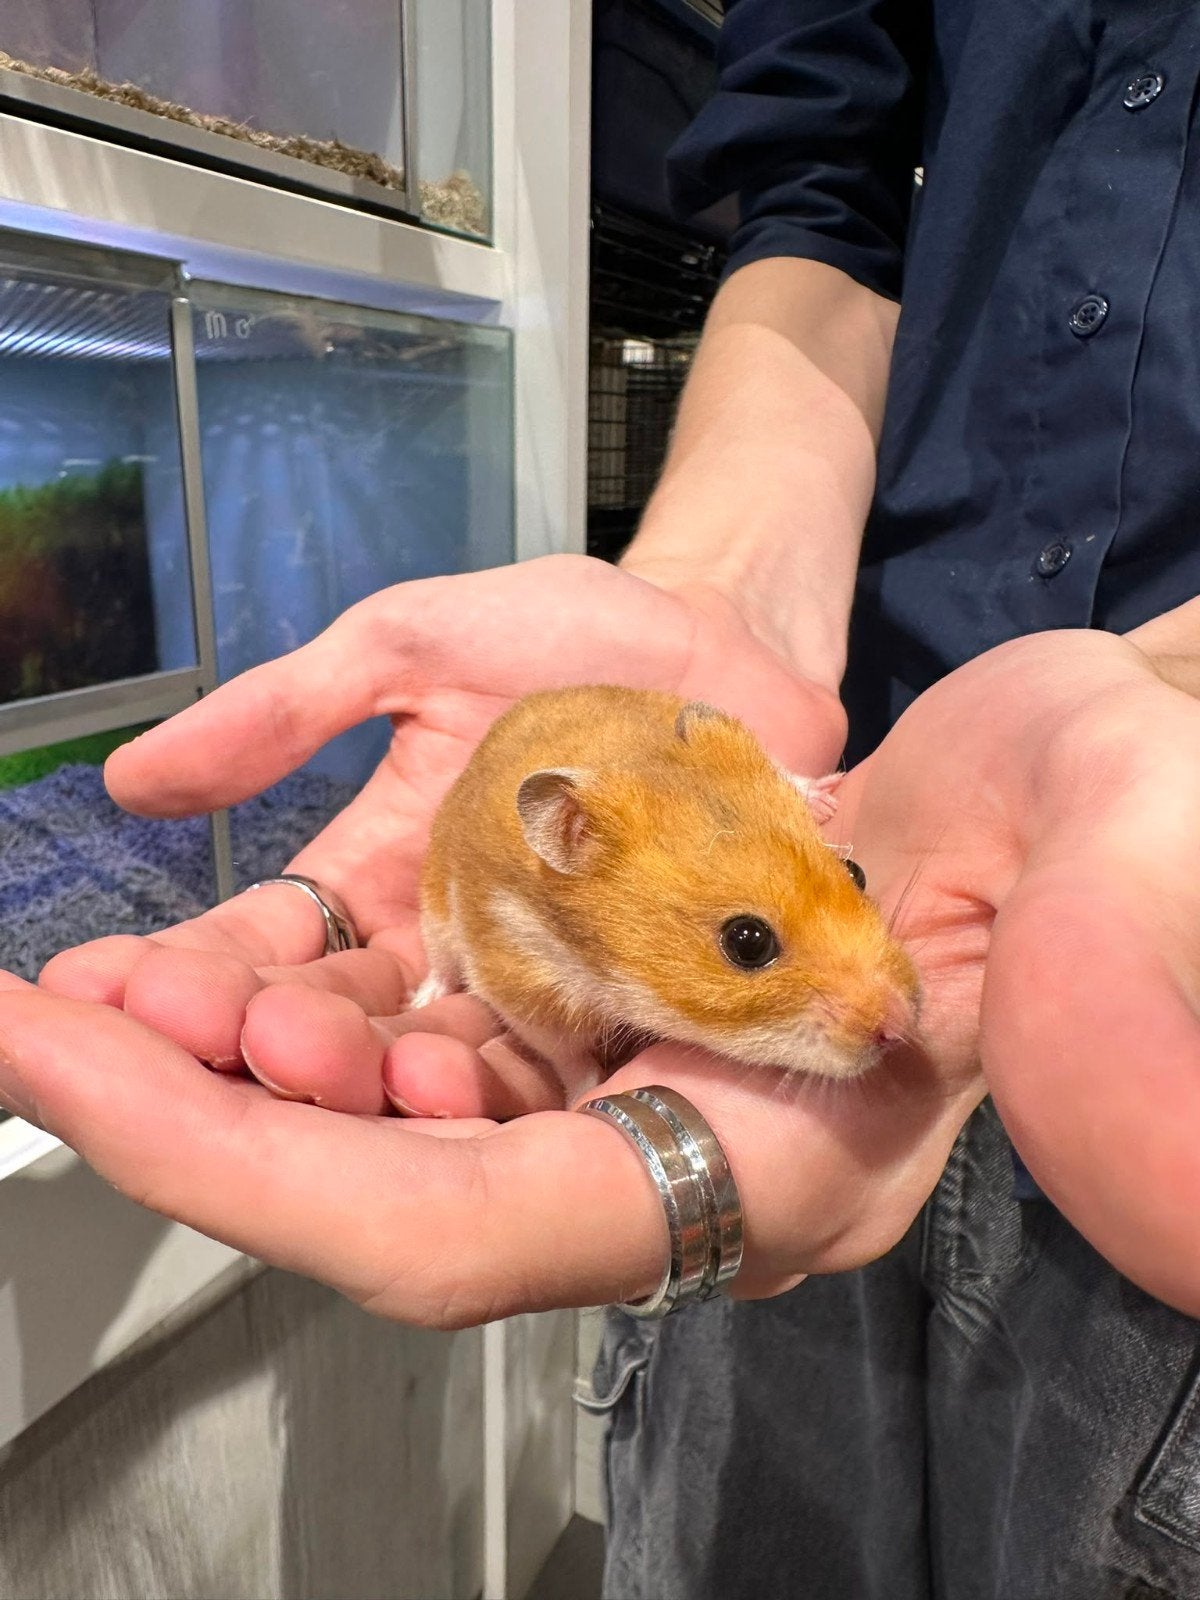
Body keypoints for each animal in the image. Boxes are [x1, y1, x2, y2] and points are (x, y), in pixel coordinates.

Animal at [415, 686, 919, 1086]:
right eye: (747, 942)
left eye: (855, 872)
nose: (901, 1028)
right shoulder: (523, 989)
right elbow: (569, 1057)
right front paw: (587, 1091)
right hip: (433, 910)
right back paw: (424, 1000)